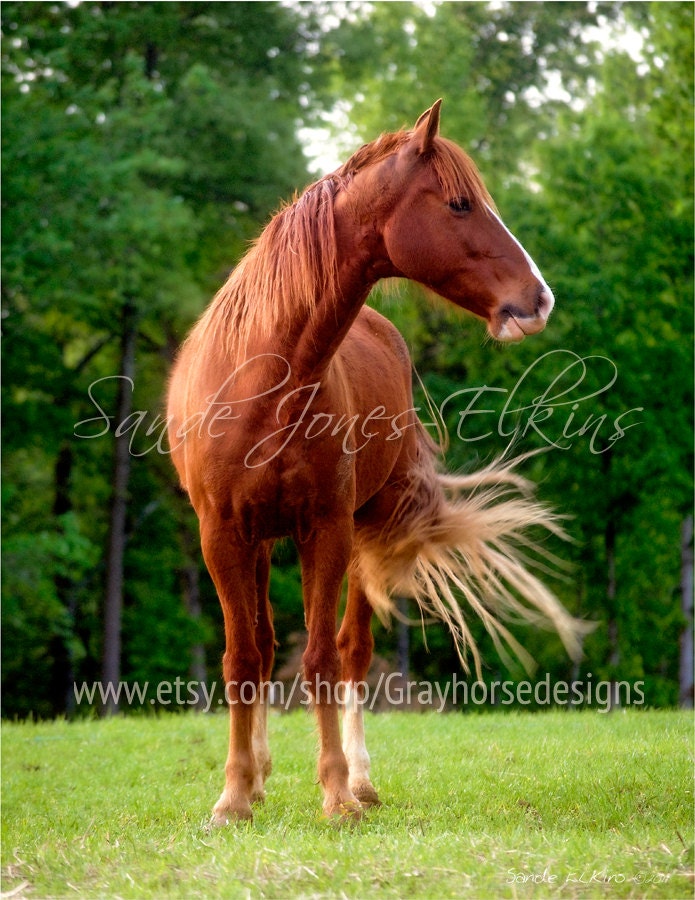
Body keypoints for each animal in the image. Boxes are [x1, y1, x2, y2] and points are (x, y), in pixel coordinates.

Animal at [167, 100, 586, 825]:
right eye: (459, 204)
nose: (538, 300)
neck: (264, 377)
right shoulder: (220, 534)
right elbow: (242, 657)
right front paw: (233, 796)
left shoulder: (328, 529)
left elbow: (321, 658)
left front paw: (337, 793)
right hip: (259, 541)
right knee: (265, 644)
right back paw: (259, 775)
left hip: (363, 532)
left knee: (351, 650)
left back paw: (359, 779)